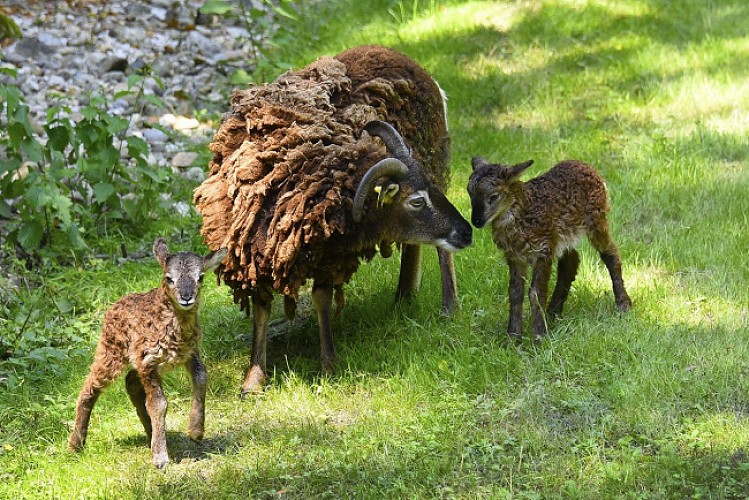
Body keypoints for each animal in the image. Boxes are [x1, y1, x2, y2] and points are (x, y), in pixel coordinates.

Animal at [67, 238, 227, 468]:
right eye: (169, 278)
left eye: (201, 277)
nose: (186, 297)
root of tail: (114, 305)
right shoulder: (148, 362)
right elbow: (158, 404)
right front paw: (160, 457)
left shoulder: (189, 353)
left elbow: (201, 378)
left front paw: (196, 430)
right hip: (111, 351)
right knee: (90, 387)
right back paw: (75, 445)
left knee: (131, 382)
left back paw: (151, 432)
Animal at [193, 45, 473, 395]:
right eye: (417, 201)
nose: (467, 232)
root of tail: (400, 55)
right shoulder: (251, 253)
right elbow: (261, 308)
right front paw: (253, 379)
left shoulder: (329, 252)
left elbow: (322, 300)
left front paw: (328, 365)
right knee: (415, 244)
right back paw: (404, 296)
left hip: (436, 158)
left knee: (440, 249)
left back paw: (449, 305)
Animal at [467, 156, 632, 341]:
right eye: (470, 194)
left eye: (493, 196)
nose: (476, 221)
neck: (523, 214)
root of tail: (586, 165)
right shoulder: (515, 256)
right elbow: (515, 294)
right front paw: (512, 338)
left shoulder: (543, 250)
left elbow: (536, 293)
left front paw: (539, 337)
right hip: (564, 234)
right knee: (571, 260)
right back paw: (553, 311)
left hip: (596, 218)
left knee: (610, 253)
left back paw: (623, 303)